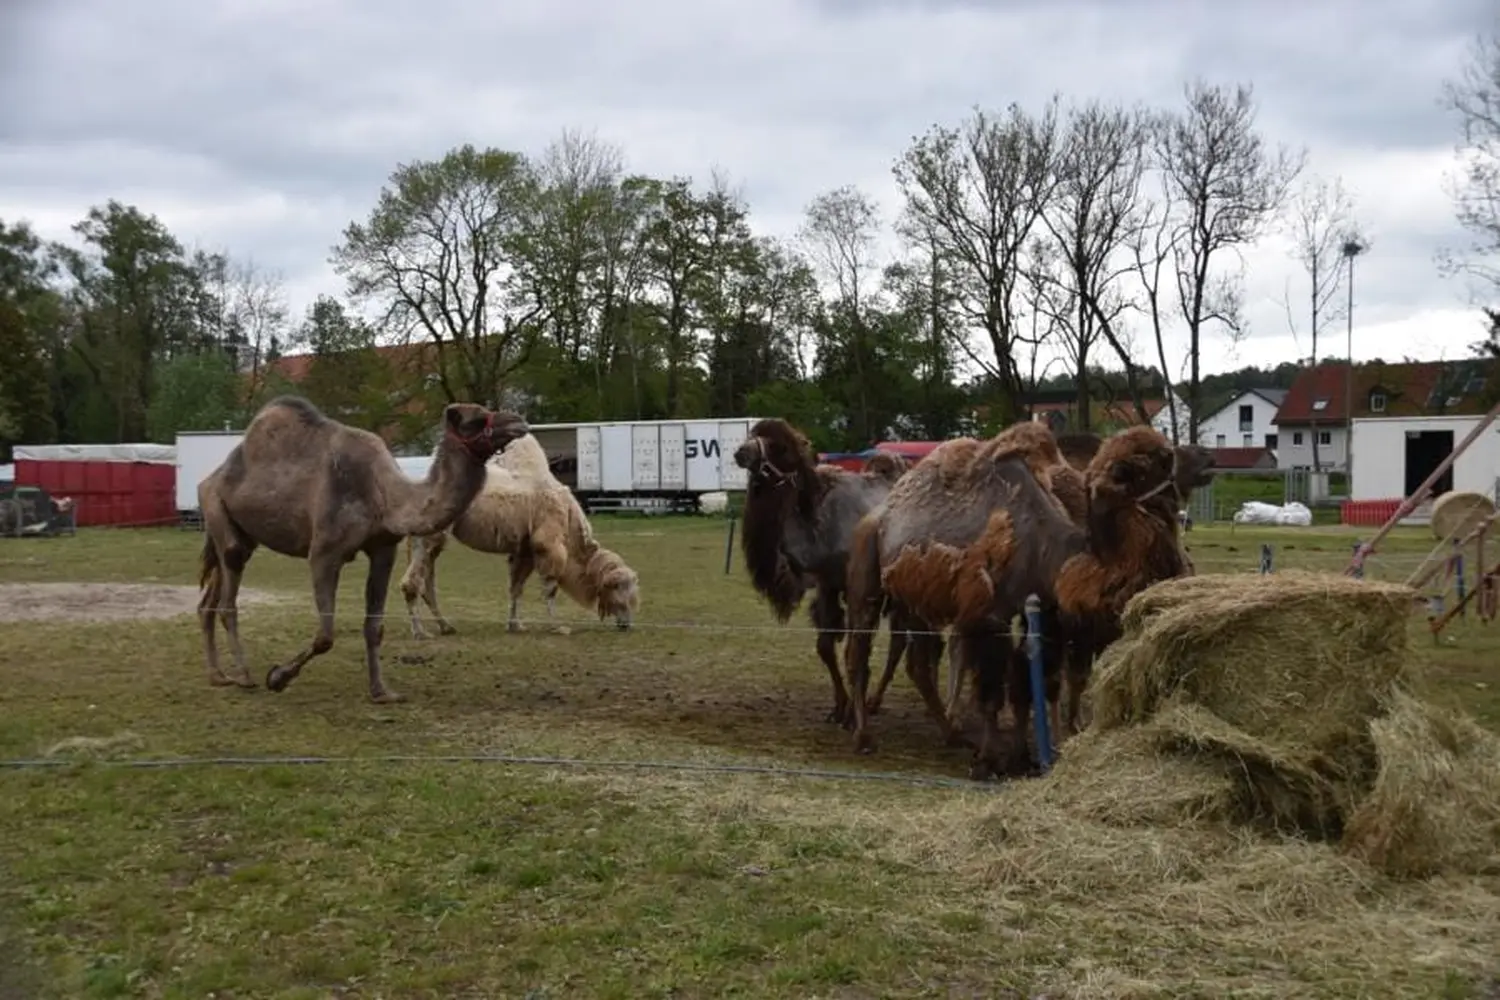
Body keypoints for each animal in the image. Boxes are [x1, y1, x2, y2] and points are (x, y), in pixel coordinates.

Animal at [196, 395, 531, 704]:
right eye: (476, 419)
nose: (519, 421)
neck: (385, 496)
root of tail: (210, 478)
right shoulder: (324, 553)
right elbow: (326, 635)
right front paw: (277, 677)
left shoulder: (383, 549)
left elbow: (374, 627)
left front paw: (382, 692)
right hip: (216, 508)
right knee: (228, 596)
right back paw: (244, 676)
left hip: (239, 531)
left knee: (209, 598)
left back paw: (218, 675)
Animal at [399, 434, 639, 638]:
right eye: (619, 589)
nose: (627, 624)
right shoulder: (547, 544)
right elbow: (550, 588)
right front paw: (558, 627)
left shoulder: (524, 549)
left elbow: (516, 587)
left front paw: (515, 625)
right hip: (431, 531)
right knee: (413, 582)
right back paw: (420, 632)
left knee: (427, 581)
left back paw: (445, 626)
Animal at [729, 422, 912, 728]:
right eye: (751, 435)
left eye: (778, 447)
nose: (740, 452)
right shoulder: (827, 583)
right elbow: (825, 646)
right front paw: (839, 708)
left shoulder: (854, 587)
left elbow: (854, 649)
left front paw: (851, 714)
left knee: (900, 641)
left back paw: (875, 701)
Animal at [846, 425, 1194, 779]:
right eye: (1143, 467)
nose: (1176, 504)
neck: (1054, 553)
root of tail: (880, 515)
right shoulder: (990, 616)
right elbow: (992, 692)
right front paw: (990, 760)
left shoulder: (1045, 613)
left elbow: (1029, 681)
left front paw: (1025, 757)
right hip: (868, 576)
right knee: (858, 654)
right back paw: (864, 737)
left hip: (914, 598)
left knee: (917, 665)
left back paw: (952, 734)